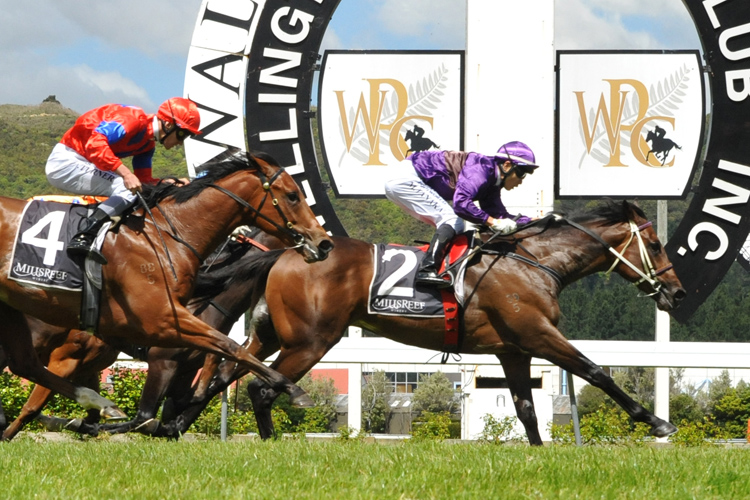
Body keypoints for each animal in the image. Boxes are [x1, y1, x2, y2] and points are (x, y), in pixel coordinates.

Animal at [0, 151, 332, 422]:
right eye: (292, 195)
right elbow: (229, 346)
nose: (324, 243)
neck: (167, 238)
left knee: (24, 365)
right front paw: (294, 390)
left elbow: (221, 352)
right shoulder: (160, 321)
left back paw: (98, 404)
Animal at [111, 199, 688, 446]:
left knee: (227, 372)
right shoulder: (537, 334)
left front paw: (539, 453)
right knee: (258, 386)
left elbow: (525, 407)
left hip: (272, 332)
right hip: (313, 339)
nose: (677, 293)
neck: (534, 262)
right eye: (656, 243)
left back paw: (173, 426)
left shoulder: (512, 349)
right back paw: (265, 441)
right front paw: (658, 422)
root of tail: (285, 251)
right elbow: (597, 372)